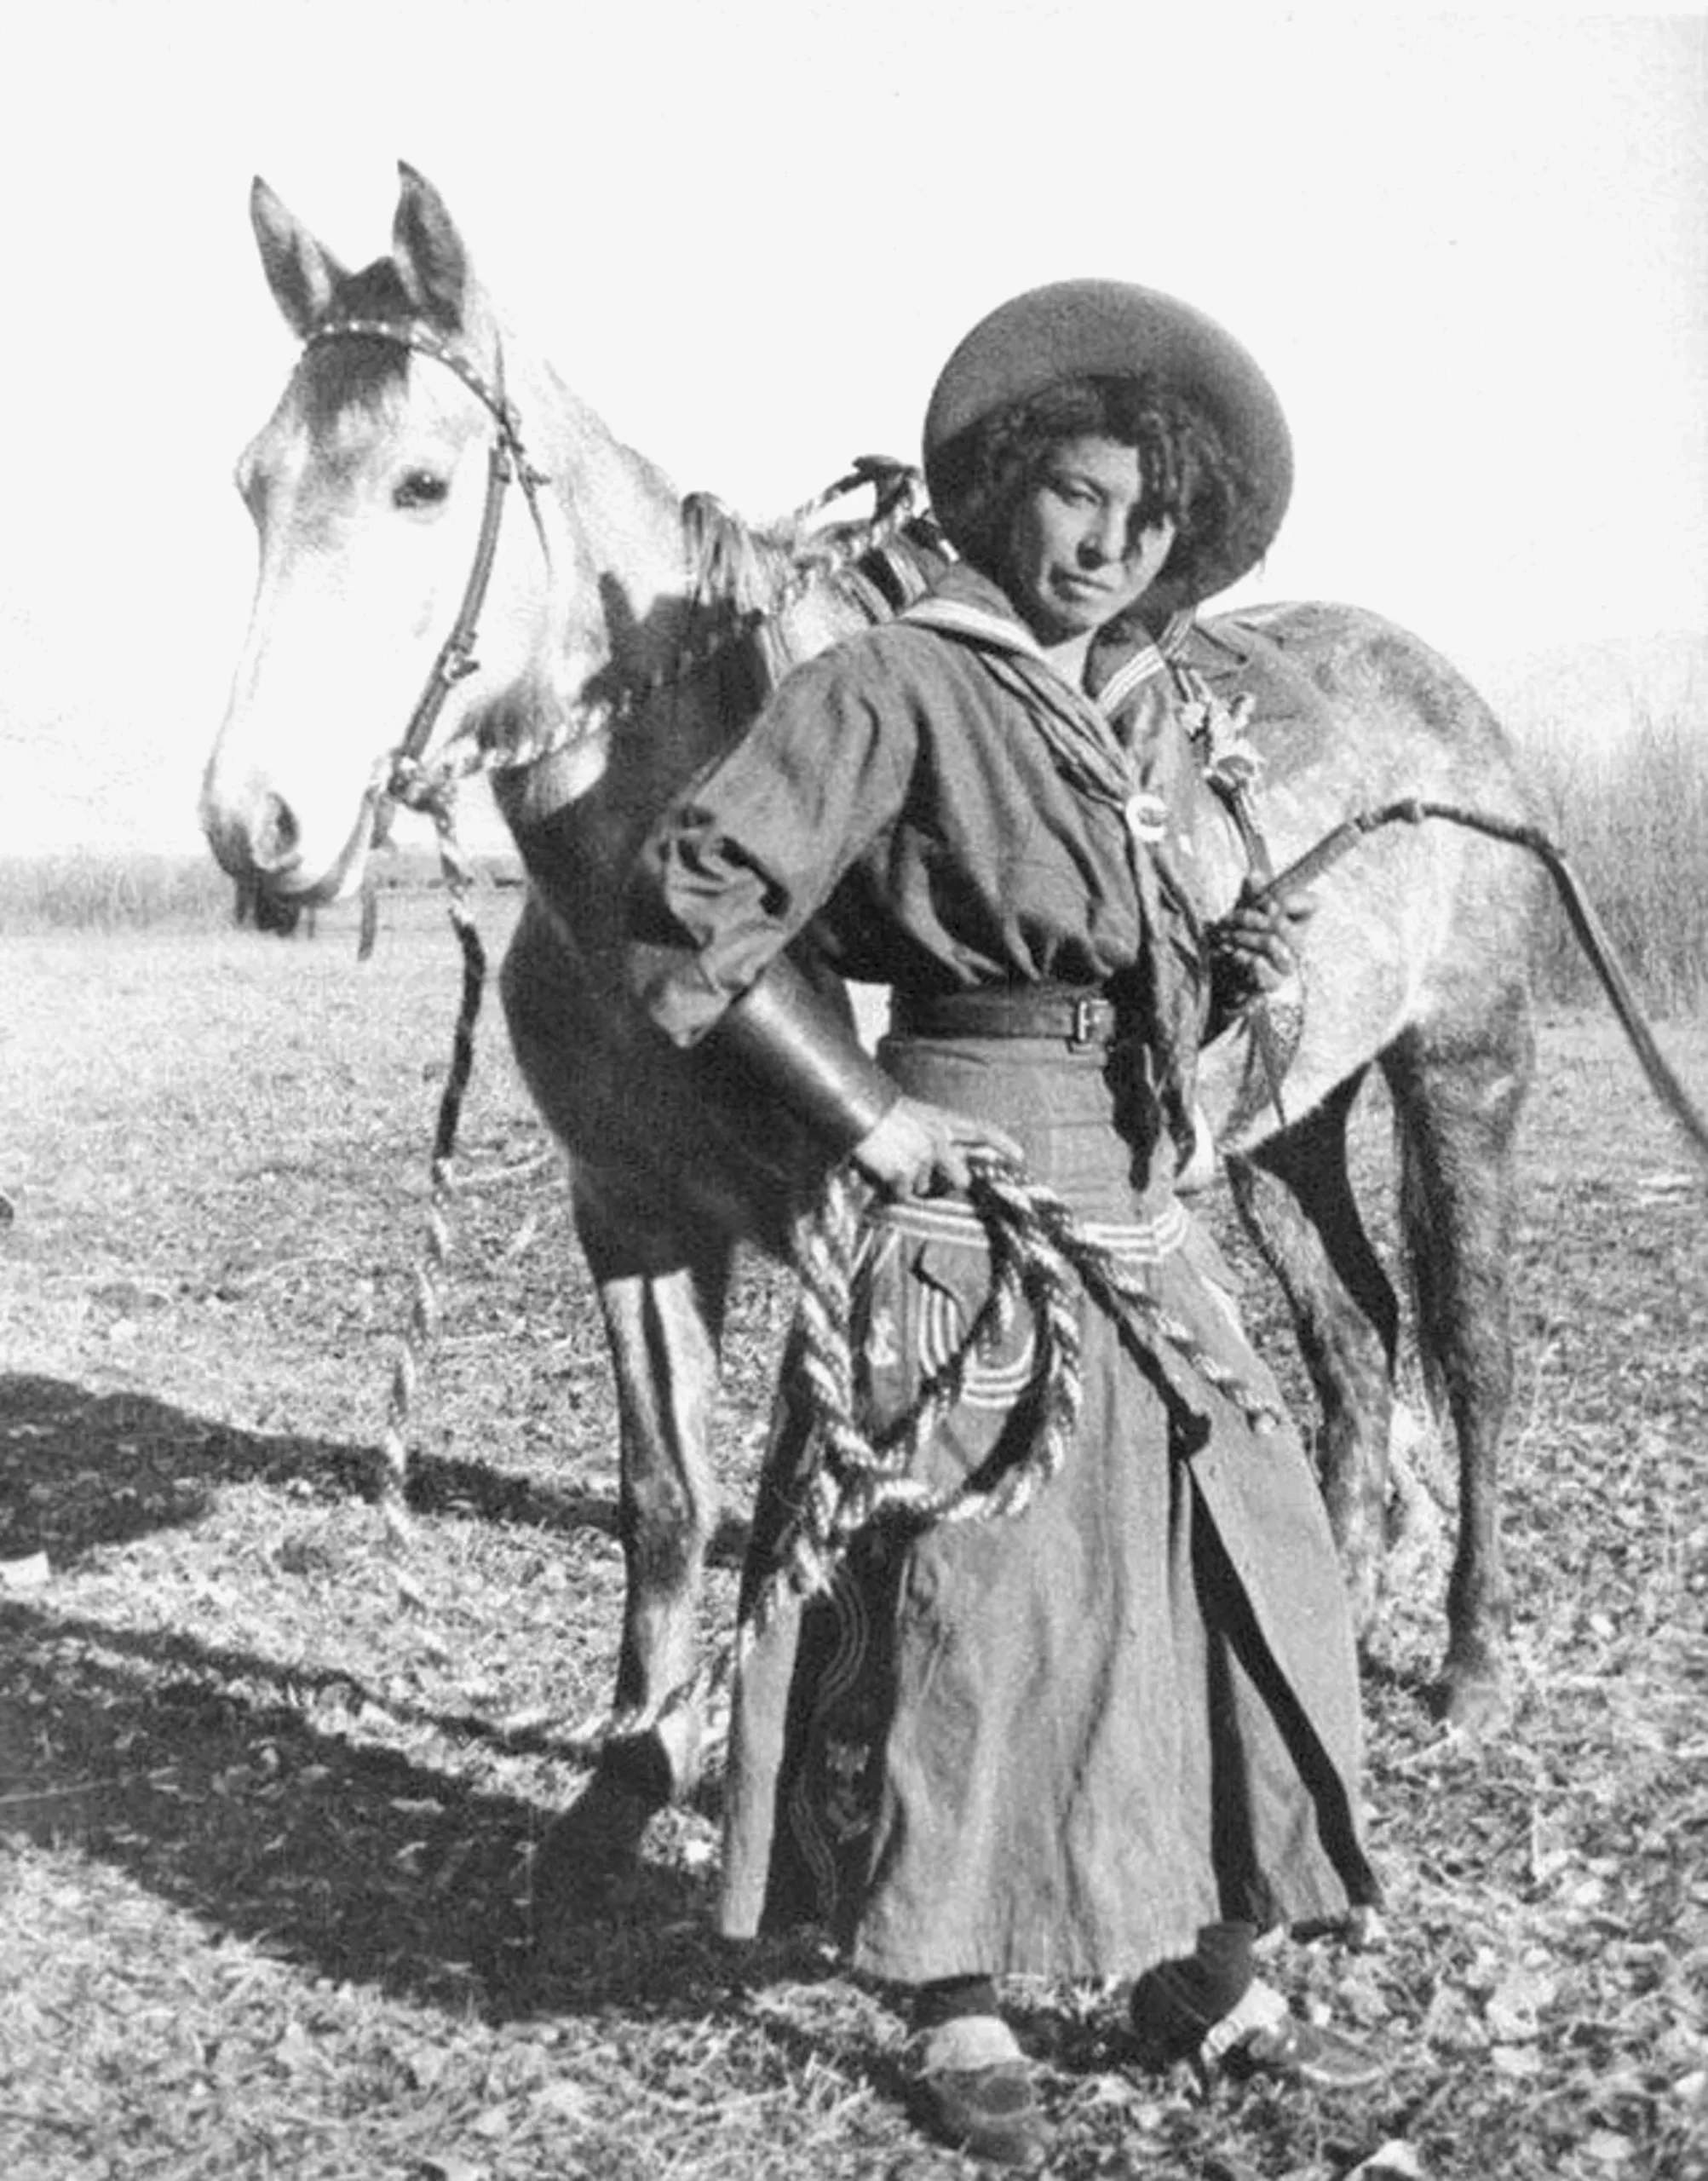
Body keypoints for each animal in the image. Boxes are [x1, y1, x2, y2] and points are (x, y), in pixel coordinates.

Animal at [200, 165, 1553, 1910]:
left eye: (425, 484)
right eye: (256, 483)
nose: (257, 822)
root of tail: (1448, 700)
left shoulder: (838, 1222)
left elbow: (818, 1504)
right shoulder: (630, 1218)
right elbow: (666, 1501)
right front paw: (624, 1782)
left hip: (1464, 1078)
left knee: (1473, 1352)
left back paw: (1466, 1664)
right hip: (1276, 1137)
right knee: (1352, 1344)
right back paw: (1342, 1599)